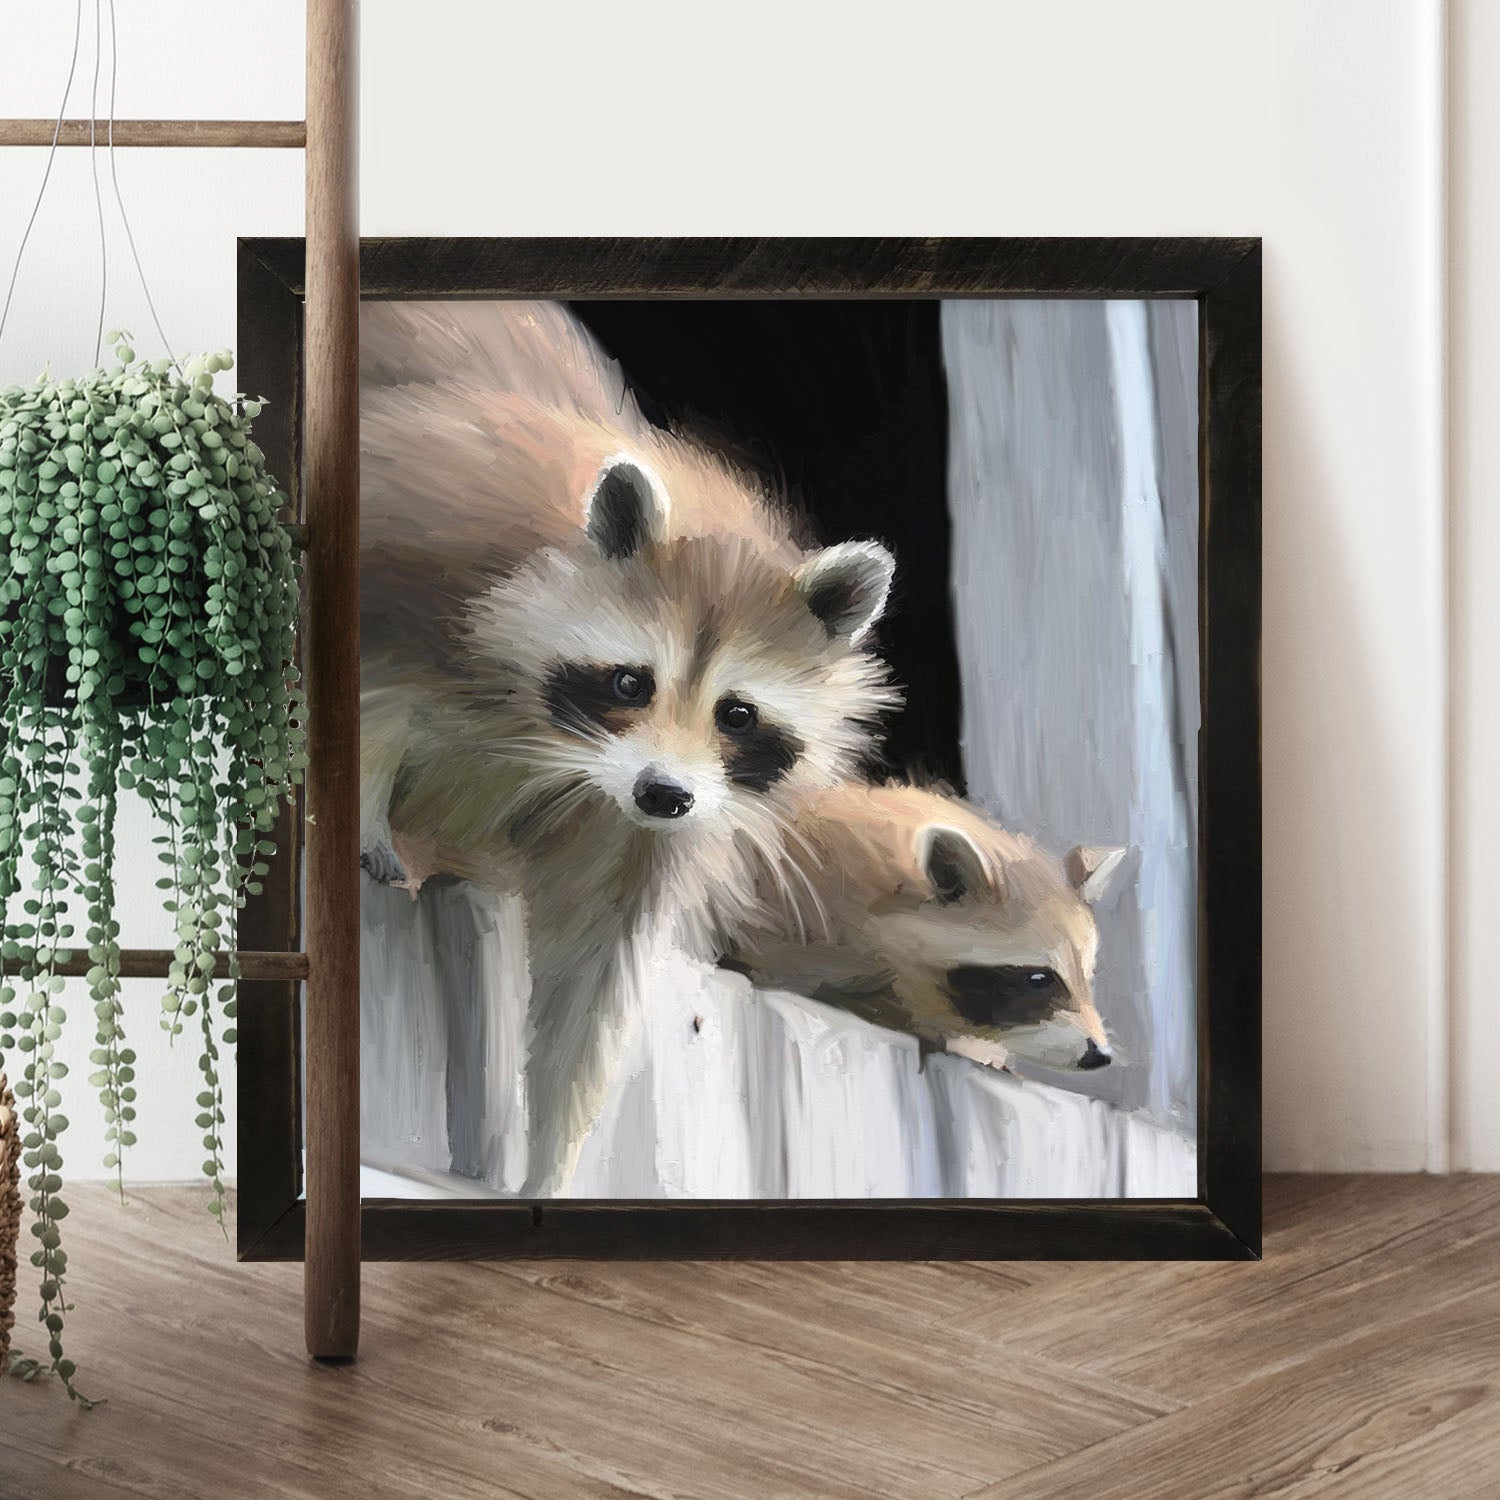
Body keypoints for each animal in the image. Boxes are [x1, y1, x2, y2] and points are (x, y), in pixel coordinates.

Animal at [359, 300, 899, 1193]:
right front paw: (362, 806)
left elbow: (593, 972)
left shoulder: (647, 827)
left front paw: (551, 1163)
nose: (663, 793)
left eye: (737, 715)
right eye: (629, 683)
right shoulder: (423, 552)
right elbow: (370, 691)